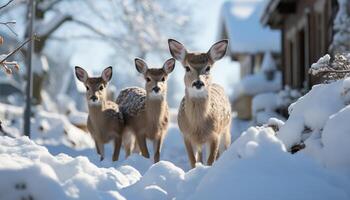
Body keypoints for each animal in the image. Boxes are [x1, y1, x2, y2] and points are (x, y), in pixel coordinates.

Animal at [167, 38, 231, 168]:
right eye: (187, 68)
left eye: (208, 68)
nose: (198, 82)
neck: (197, 127)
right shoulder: (186, 135)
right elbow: (193, 160)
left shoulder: (215, 134)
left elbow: (211, 160)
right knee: (200, 156)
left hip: (226, 129)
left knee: (224, 149)